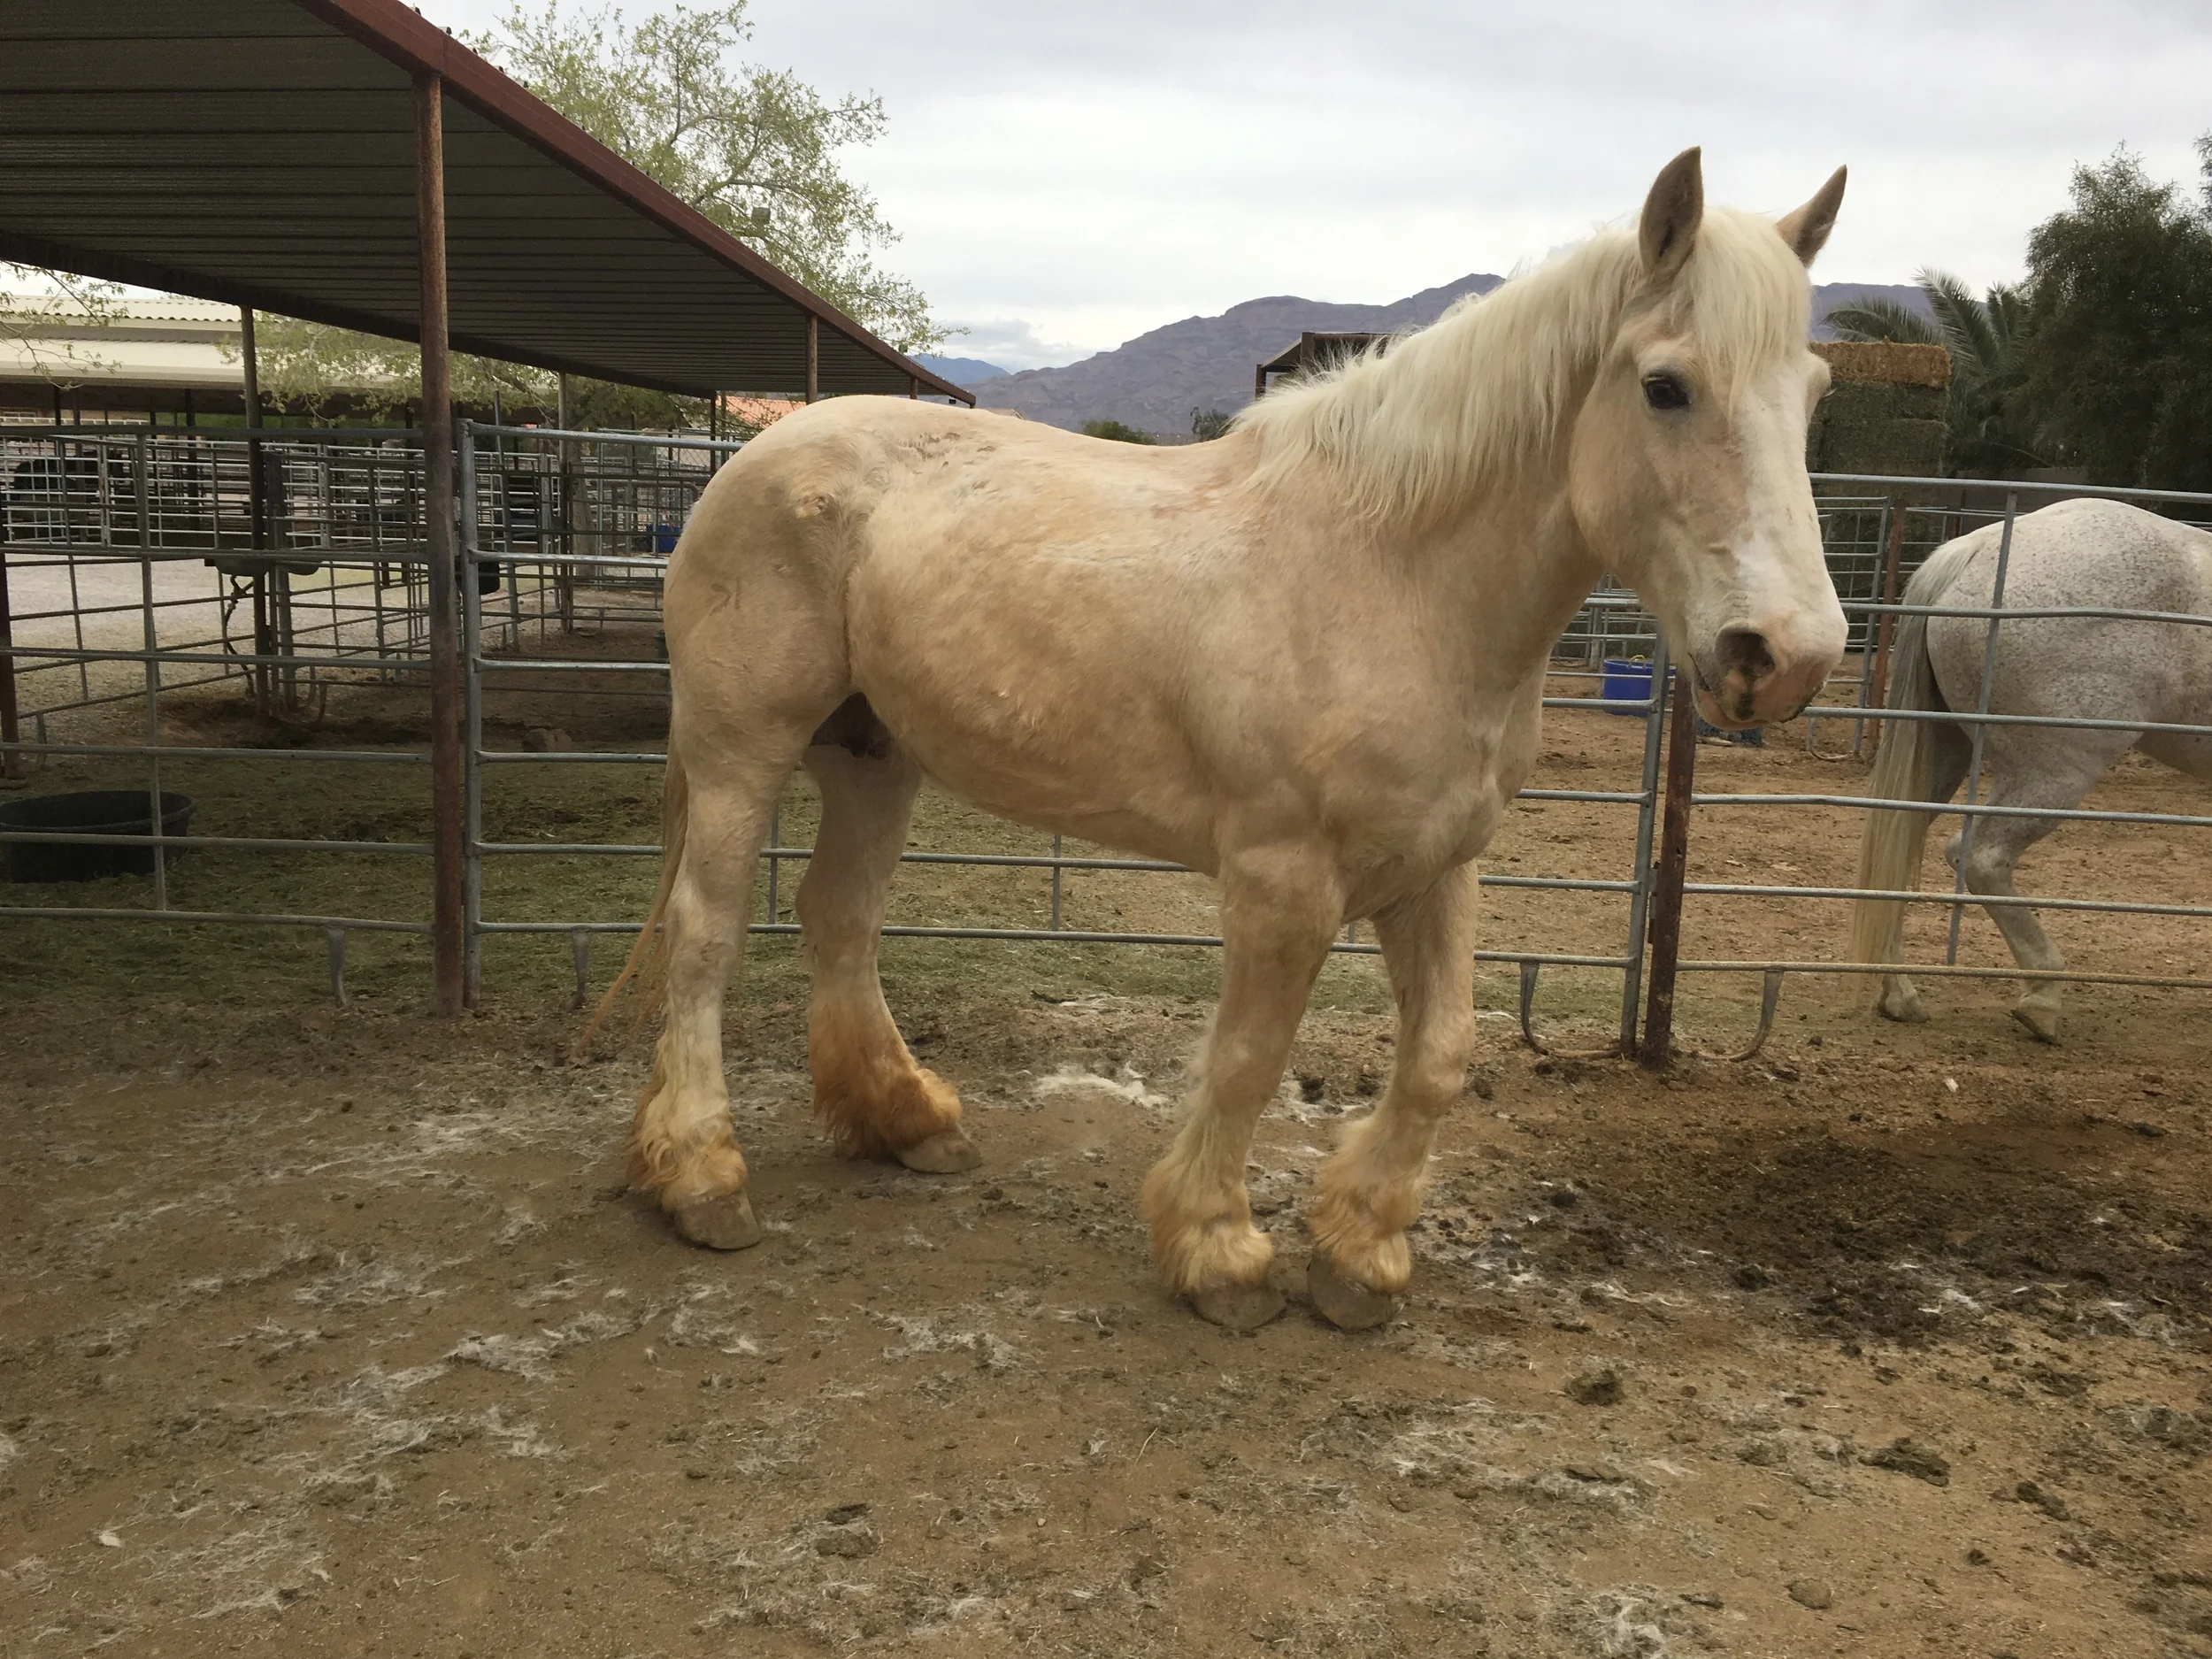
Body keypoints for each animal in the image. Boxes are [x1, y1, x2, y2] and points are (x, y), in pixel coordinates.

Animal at [598, 149, 1851, 1331]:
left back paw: (904, 1119)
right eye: (1665, 387)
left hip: (872, 753)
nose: (1784, 656)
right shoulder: (1280, 881)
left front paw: (1359, 1255)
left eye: (1815, 391)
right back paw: (704, 1178)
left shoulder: (1436, 864)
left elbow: (1439, 1057)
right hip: (742, 753)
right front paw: (1218, 1252)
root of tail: (755, 458)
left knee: (839, 918)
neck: (1393, 578)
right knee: (707, 936)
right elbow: (1248, 1060)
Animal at [1849, 497, 2212, 1042]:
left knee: (1900, 840)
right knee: (1980, 858)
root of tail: (1976, 549)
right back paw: (2042, 996)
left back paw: (1900, 992)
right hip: (2053, 773)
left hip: (1944, 752)